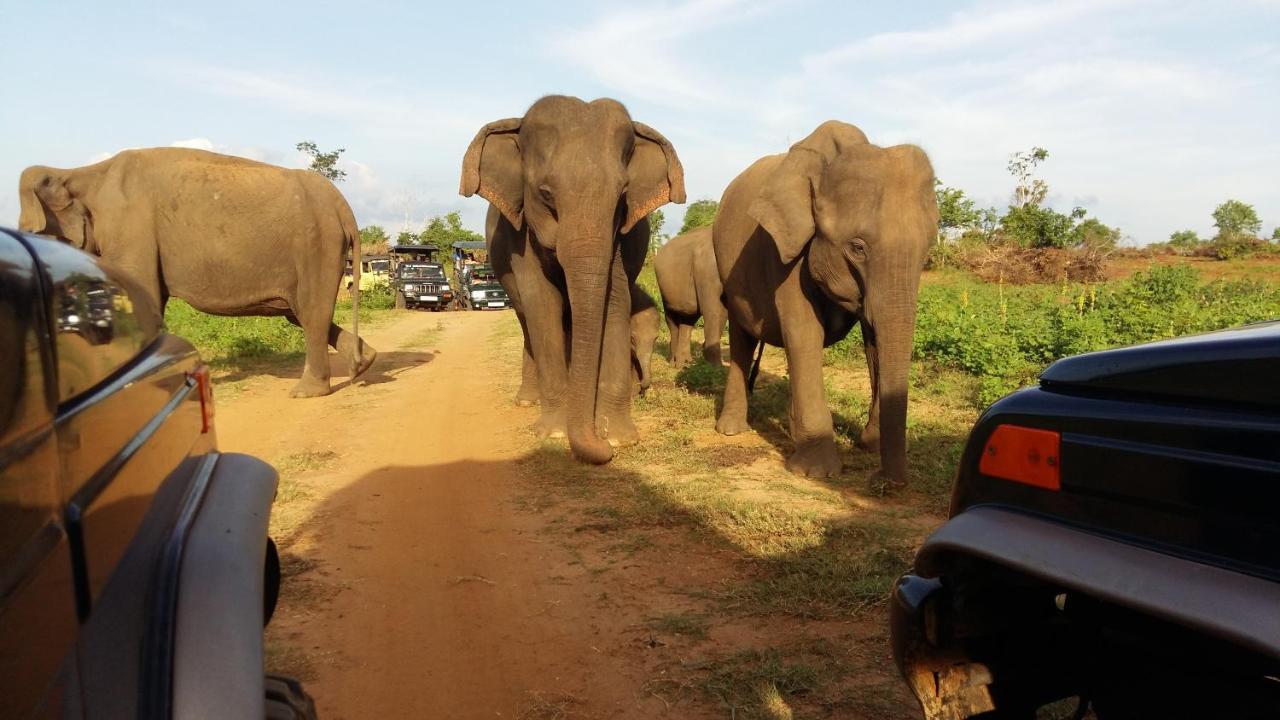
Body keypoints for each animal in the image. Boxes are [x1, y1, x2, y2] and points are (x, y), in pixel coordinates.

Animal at [17, 148, 373, 397]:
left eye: (32, 233)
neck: (78, 173)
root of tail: (343, 206)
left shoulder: (130, 230)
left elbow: (141, 295)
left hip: (316, 245)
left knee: (310, 312)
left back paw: (306, 392)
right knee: (300, 312)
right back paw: (363, 363)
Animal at [655, 224, 727, 366]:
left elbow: (724, 312)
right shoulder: (707, 269)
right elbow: (714, 311)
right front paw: (716, 367)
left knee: (688, 319)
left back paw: (685, 362)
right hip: (664, 290)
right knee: (672, 320)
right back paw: (674, 363)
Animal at [716, 120, 936, 484]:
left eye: (927, 250)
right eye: (857, 248)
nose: (885, 481)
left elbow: (873, 338)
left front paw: (868, 444)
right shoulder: (784, 248)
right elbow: (805, 332)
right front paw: (816, 472)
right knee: (741, 339)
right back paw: (731, 430)